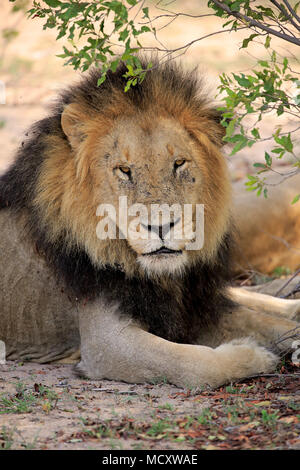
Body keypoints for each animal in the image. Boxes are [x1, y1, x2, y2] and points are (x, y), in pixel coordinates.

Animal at [0, 60, 300, 388]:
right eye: (124, 170)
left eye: (179, 163)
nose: (161, 227)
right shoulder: (106, 343)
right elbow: (194, 364)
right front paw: (256, 355)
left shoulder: (194, 307)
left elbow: (265, 322)